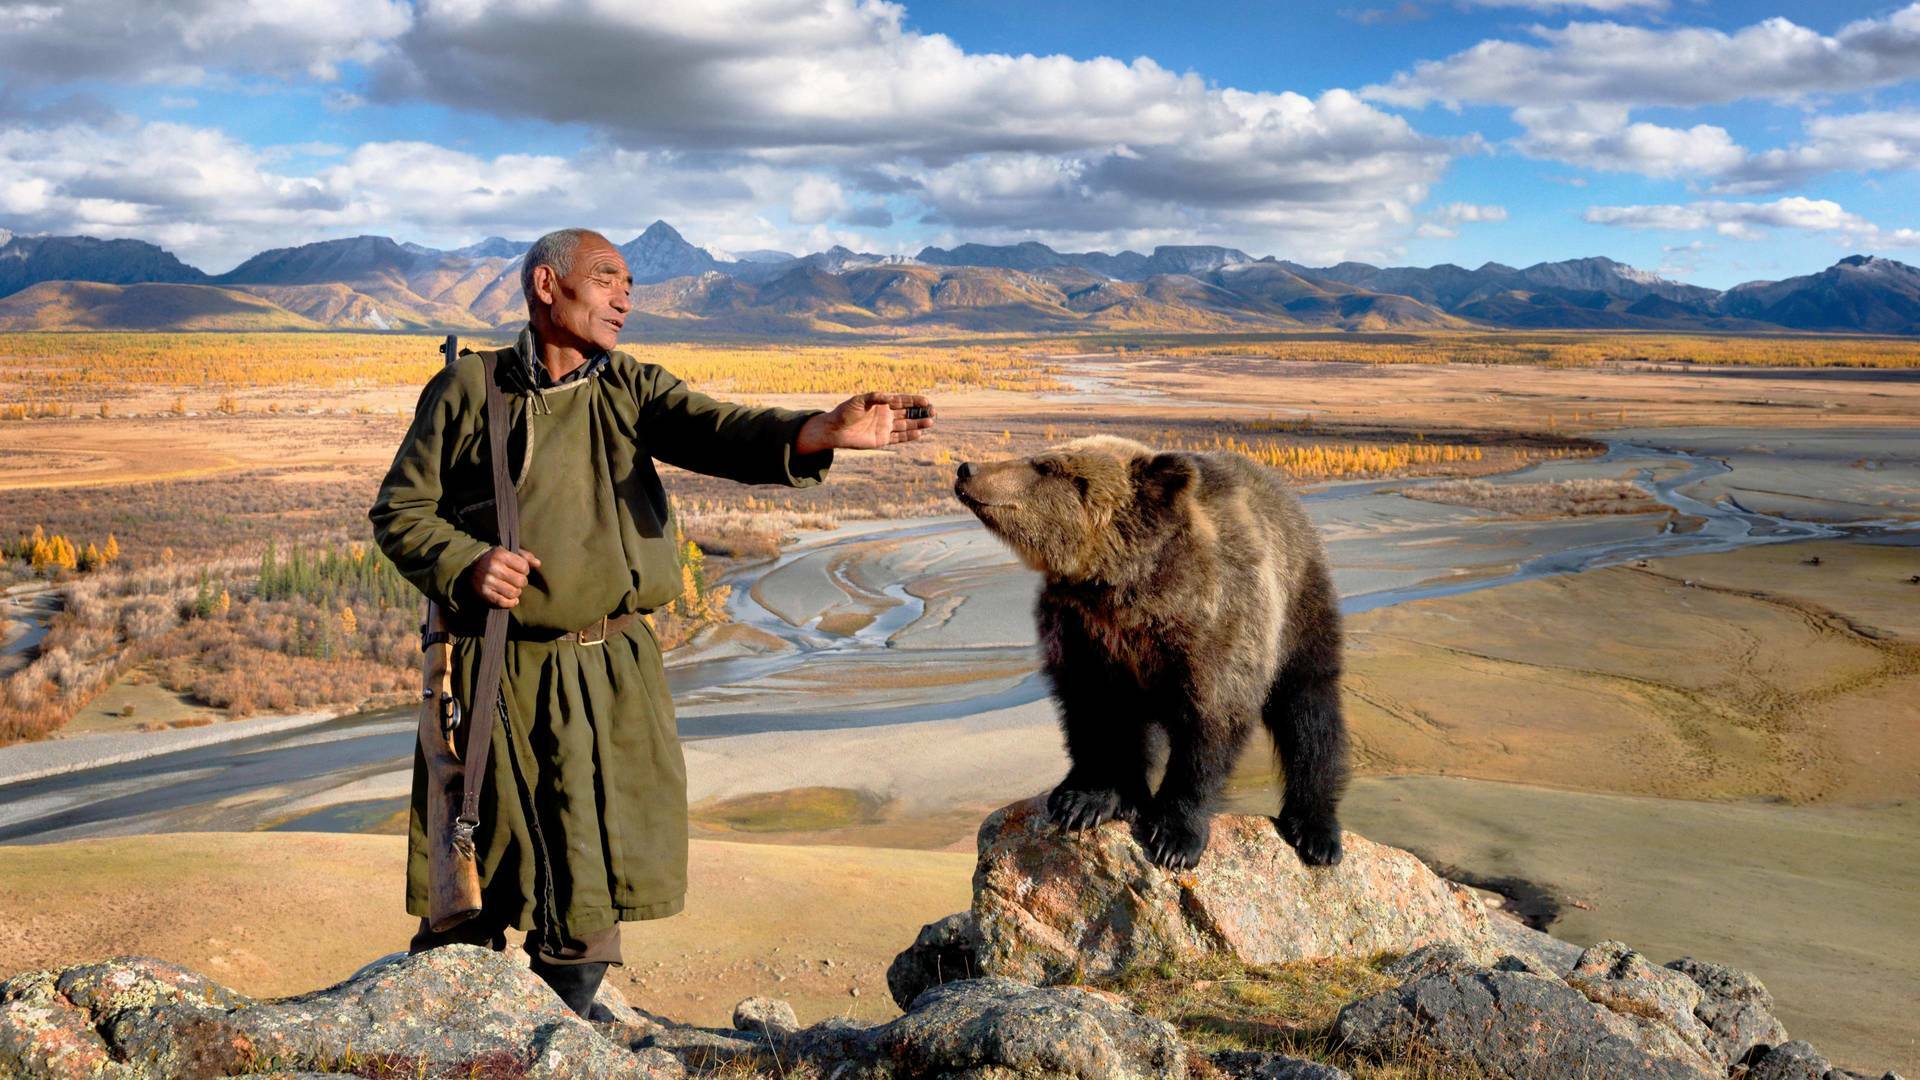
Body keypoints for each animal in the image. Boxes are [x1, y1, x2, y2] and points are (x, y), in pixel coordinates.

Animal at [948, 432, 1344, 860]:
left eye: (1044, 467)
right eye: (1038, 457)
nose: (967, 468)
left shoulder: (1215, 625)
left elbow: (1210, 725)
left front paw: (1174, 836)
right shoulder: (1083, 633)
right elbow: (1092, 712)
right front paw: (1083, 800)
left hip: (1299, 609)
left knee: (1309, 711)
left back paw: (1316, 831)